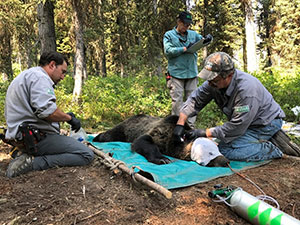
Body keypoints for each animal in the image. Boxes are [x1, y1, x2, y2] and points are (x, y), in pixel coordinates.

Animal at [92, 115, 229, 166]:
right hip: (125, 128)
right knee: (110, 135)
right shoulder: (159, 132)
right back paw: (97, 137)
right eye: (210, 152)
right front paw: (163, 159)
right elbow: (143, 141)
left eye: (218, 150)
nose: (225, 161)